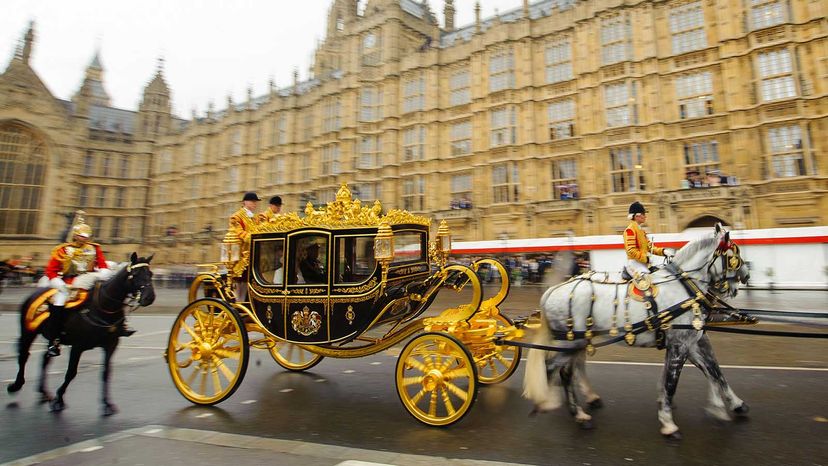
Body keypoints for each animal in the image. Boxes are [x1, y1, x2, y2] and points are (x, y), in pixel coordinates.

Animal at [7, 253, 155, 416]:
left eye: (150, 274)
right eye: (135, 274)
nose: (150, 297)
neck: (102, 307)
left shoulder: (110, 345)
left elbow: (106, 373)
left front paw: (107, 403)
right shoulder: (77, 346)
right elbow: (71, 373)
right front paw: (58, 400)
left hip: (51, 338)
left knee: (45, 359)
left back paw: (44, 393)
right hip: (28, 332)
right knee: (24, 356)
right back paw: (16, 386)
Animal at [524, 224, 752, 438]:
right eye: (734, 255)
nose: (747, 276)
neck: (684, 287)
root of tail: (552, 290)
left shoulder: (691, 341)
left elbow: (713, 371)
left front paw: (734, 404)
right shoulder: (680, 343)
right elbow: (673, 382)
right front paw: (669, 423)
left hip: (578, 341)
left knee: (571, 368)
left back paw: (582, 404)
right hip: (570, 343)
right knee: (556, 369)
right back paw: (559, 407)